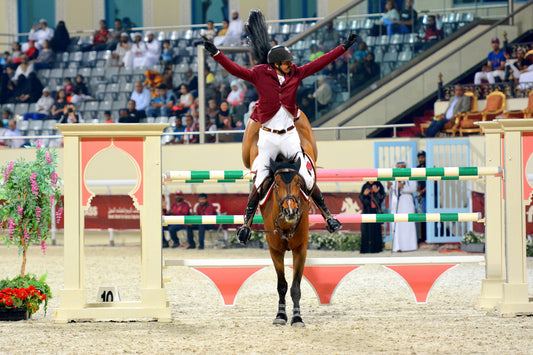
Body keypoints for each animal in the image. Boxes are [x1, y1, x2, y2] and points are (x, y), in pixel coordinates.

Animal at [244, 112, 318, 326]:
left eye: (298, 182)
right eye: (275, 183)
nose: (290, 211)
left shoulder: (300, 249)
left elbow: (295, 287)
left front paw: (297, 317)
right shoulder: (275, 250)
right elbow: (282, 285)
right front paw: (280, 315)